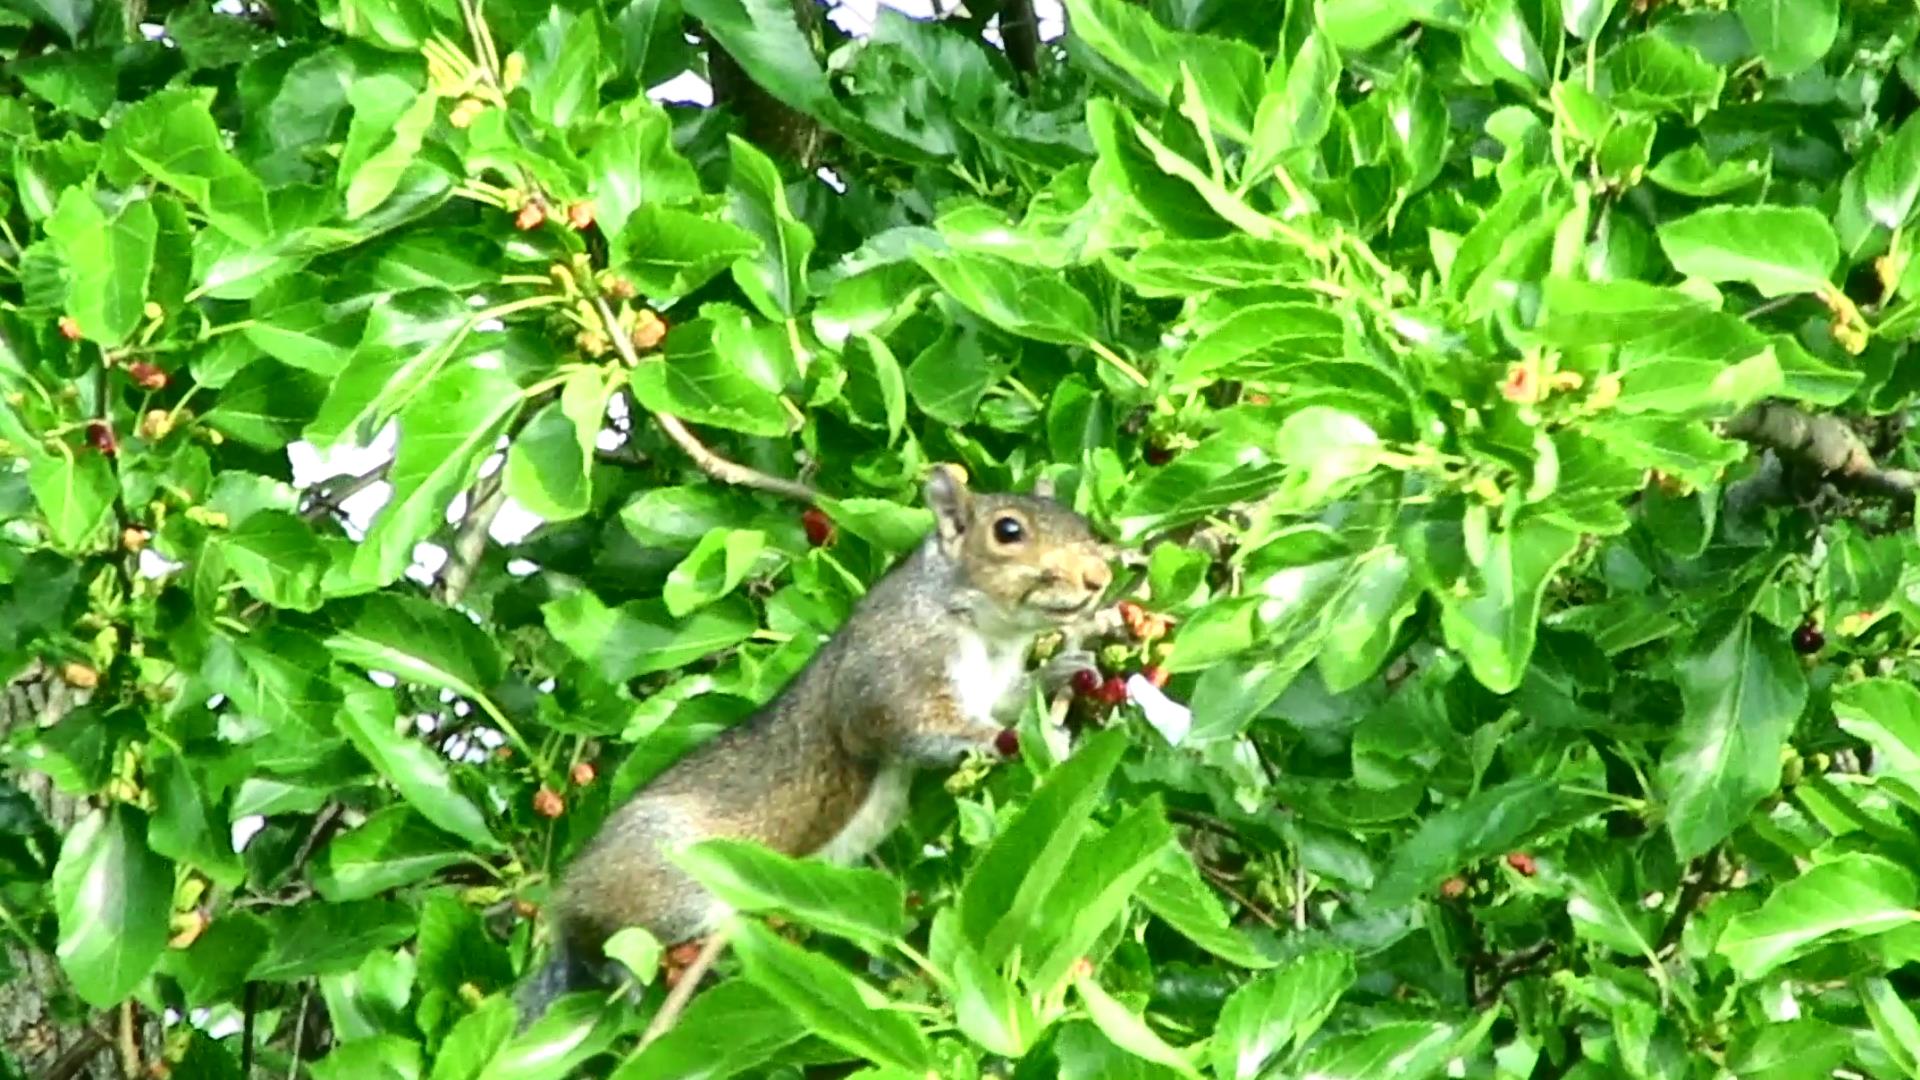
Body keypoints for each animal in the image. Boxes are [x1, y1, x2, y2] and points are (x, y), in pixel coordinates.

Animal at [515, 465, 1114, 1027]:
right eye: (1008, 531)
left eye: (1082, 524)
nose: (1099, 576)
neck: (986, 631)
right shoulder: (890, 673)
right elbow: (911, 727)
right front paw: (992, 739)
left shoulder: (994, 681)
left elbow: (1012, 698)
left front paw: (1059, 673)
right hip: (665, 875)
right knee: (600, 937)